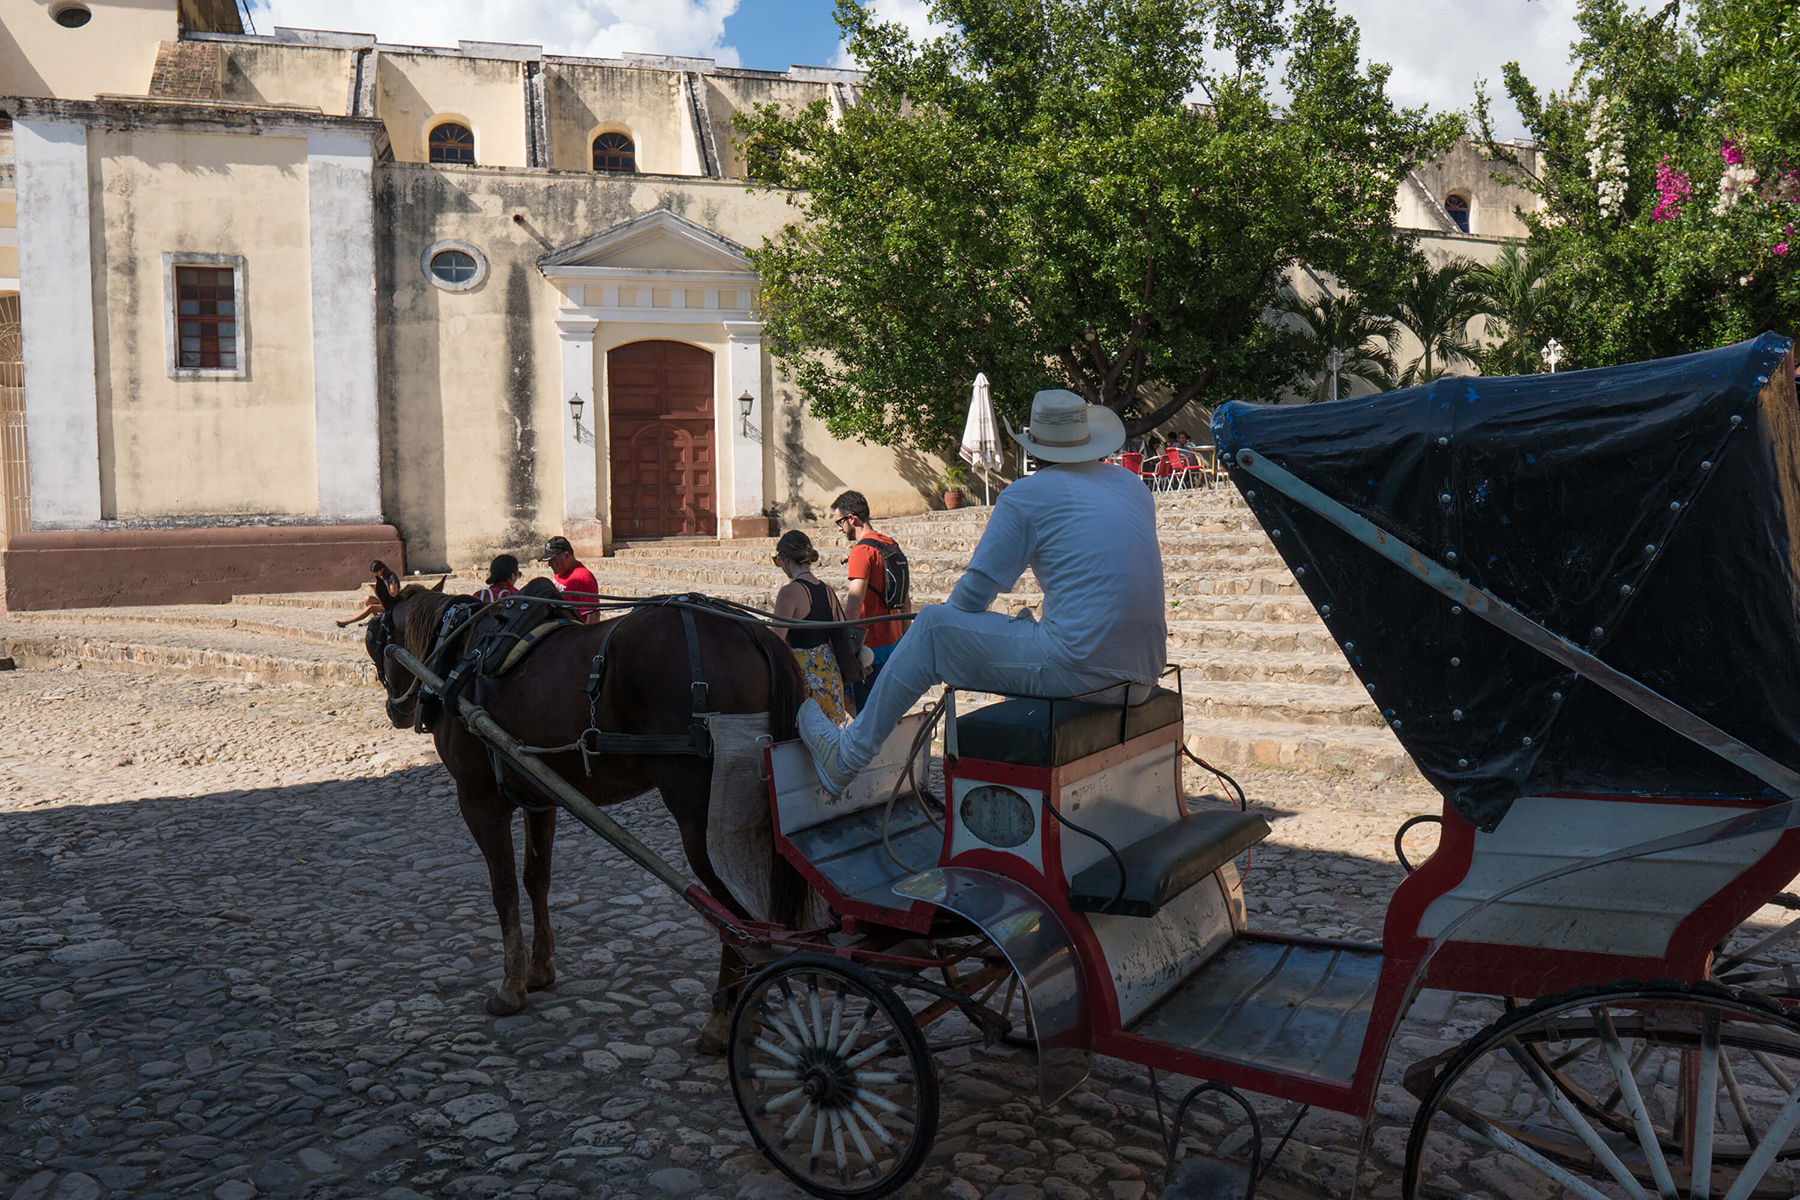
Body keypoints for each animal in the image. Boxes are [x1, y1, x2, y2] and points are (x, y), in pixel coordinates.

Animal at [365, 575, 810, 1050]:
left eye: (375, 641)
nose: (396, 710)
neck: (458, 655)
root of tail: (751, 631)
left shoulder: (478, 799)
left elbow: (504, 889)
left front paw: (510, 987)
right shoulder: (540, 795)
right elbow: (536, 879)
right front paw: (540, 969)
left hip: (703, 821)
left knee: (736, 914)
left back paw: (723, 1017)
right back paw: (755, 1010)